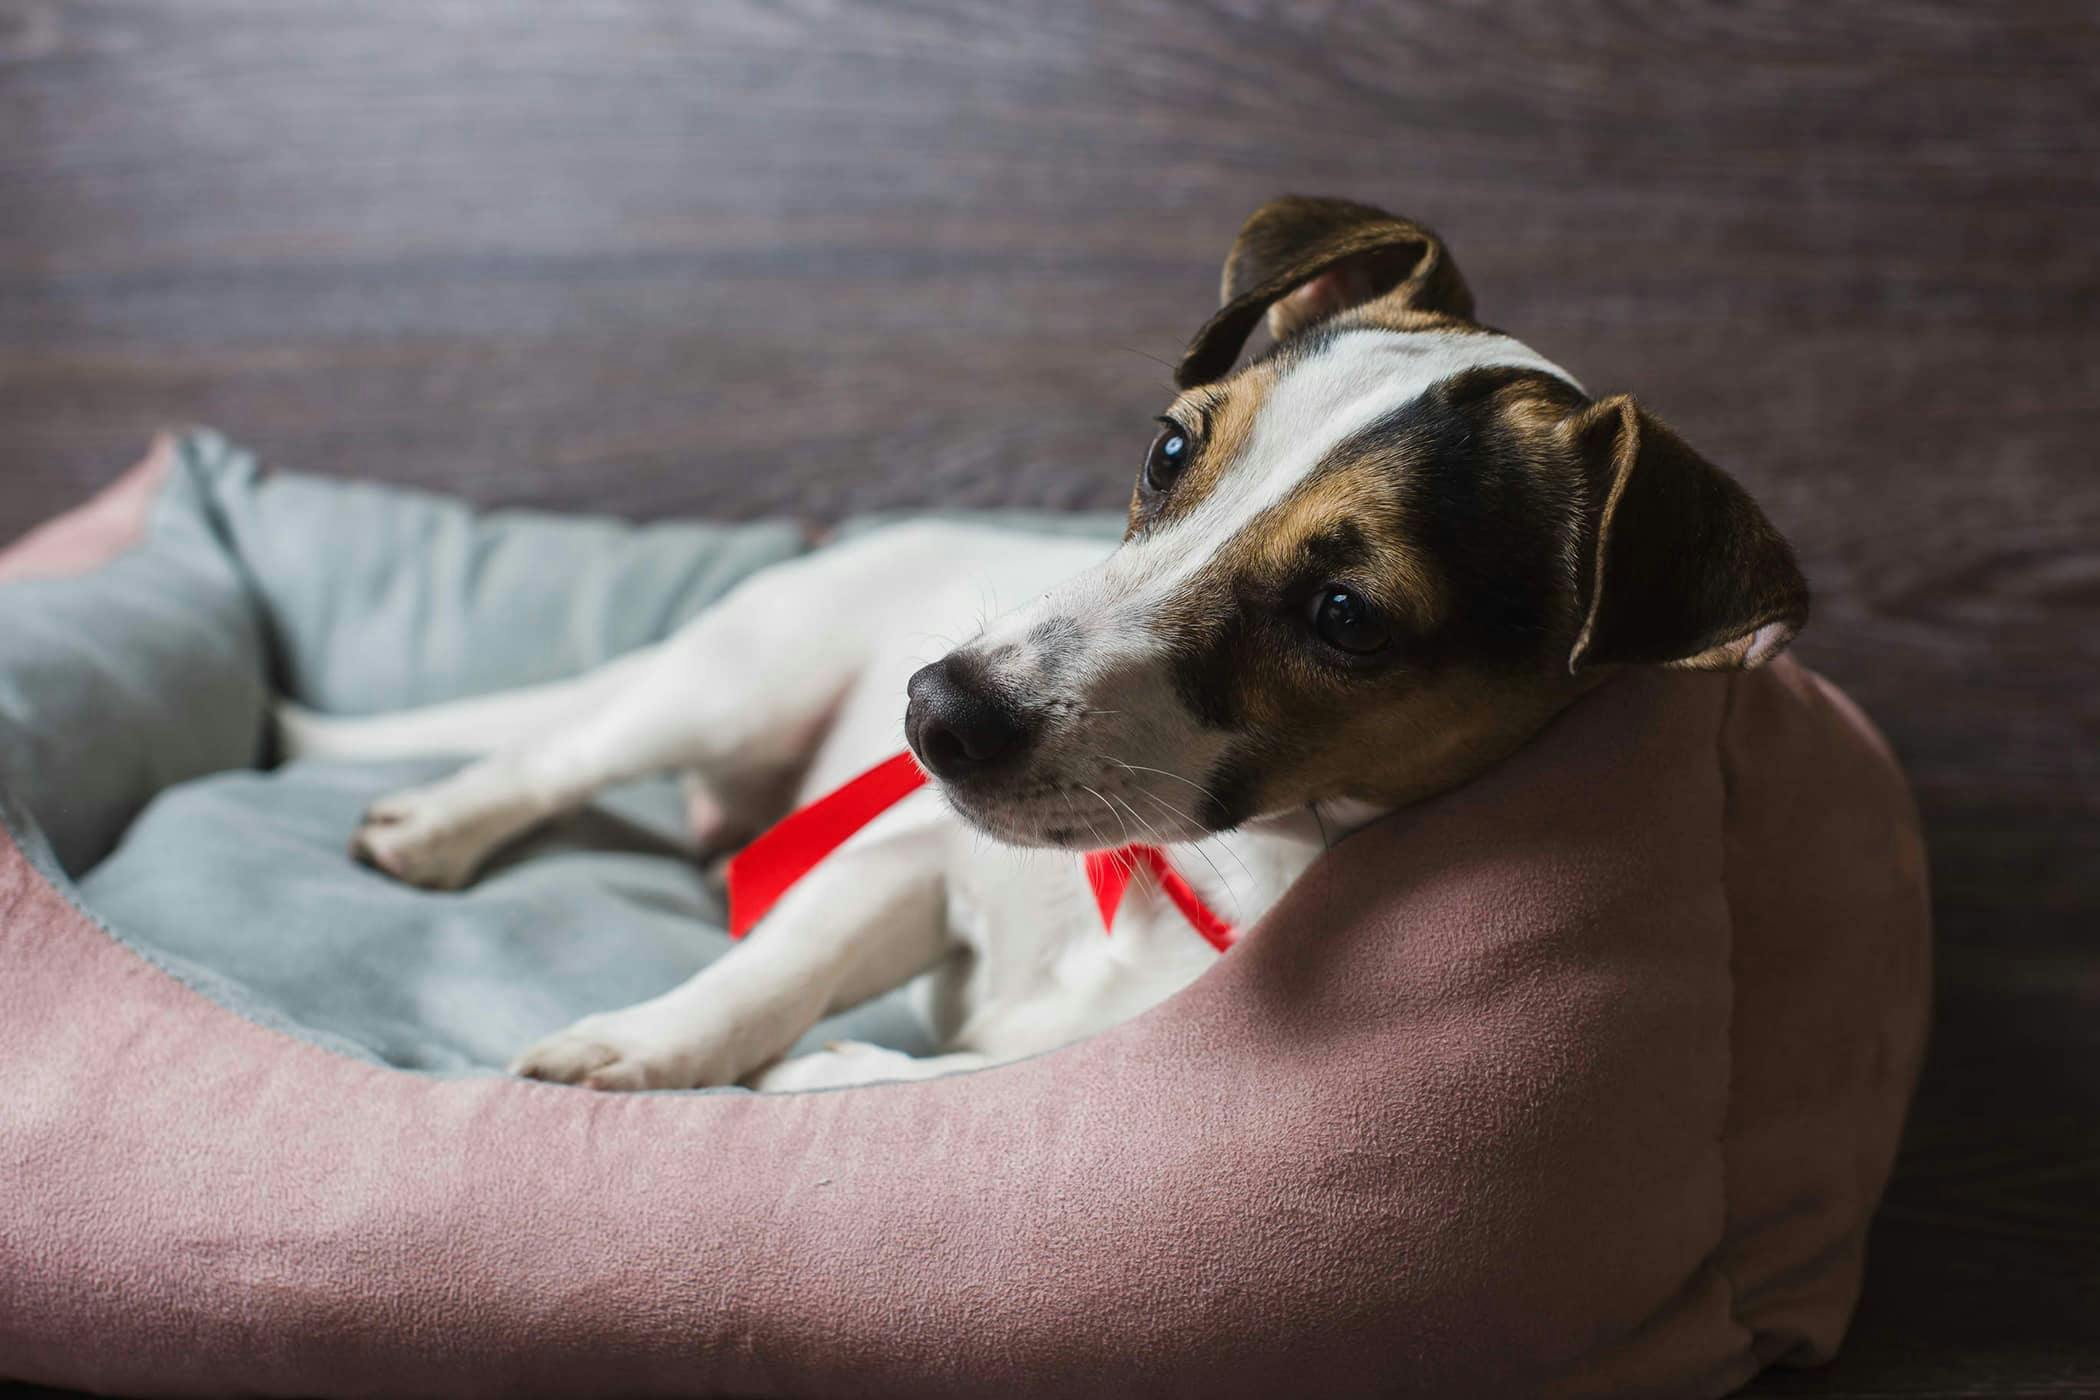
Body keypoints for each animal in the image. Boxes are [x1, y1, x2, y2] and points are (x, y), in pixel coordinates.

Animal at [283, 197, 1805, 1091]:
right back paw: (438, 822)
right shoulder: (895, 856)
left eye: (1346, 616)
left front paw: (828, 1077)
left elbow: (929, 1078)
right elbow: (768, 970)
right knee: (557, 750)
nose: (933, 712)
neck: (1174, 877)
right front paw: (640, 1042)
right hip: (735, 679)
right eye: (1172, 446)